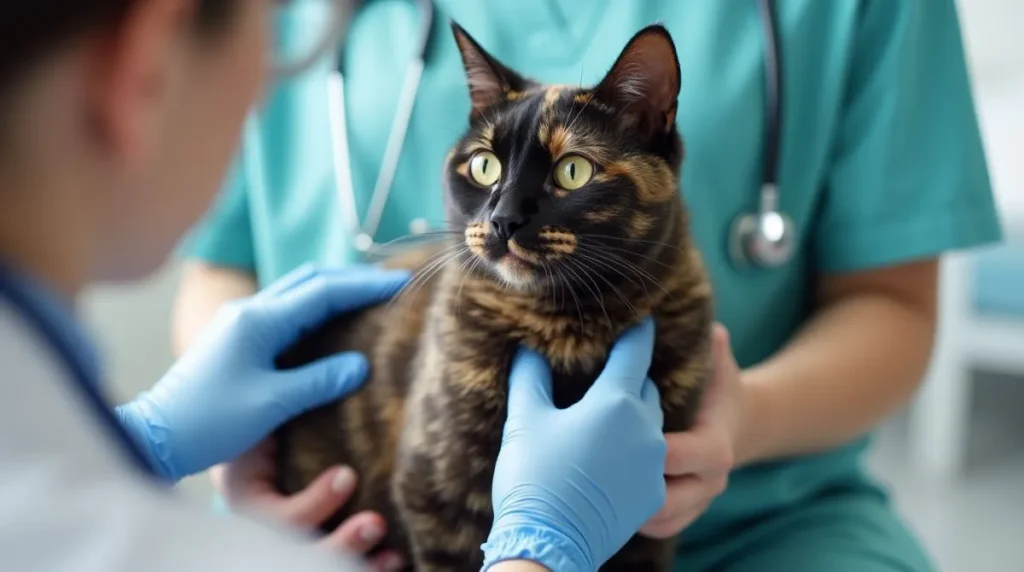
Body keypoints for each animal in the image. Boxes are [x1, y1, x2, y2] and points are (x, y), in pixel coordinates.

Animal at [276, 23, 716, 572]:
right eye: (484, 166)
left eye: (573, 171)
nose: (503, 219)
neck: (569, 328)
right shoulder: (437, 497)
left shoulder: (651, 528)